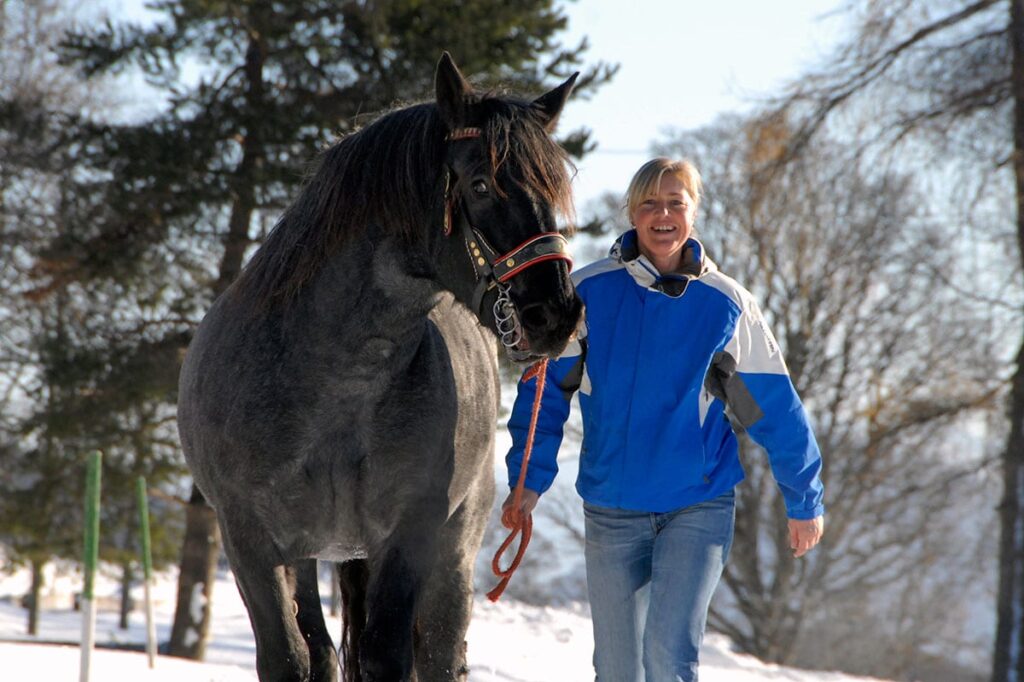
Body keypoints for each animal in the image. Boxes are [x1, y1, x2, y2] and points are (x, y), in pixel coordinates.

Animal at [176, 54, 585, 679]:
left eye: (554, 188)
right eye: (482, 183)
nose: (554, 314)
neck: (337, 385)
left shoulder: (410, 536)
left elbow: (387, 657)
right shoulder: (250, 542)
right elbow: (290, 658)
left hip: (451, 553)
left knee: (439, 652)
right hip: (305, 558)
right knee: (322, 653)